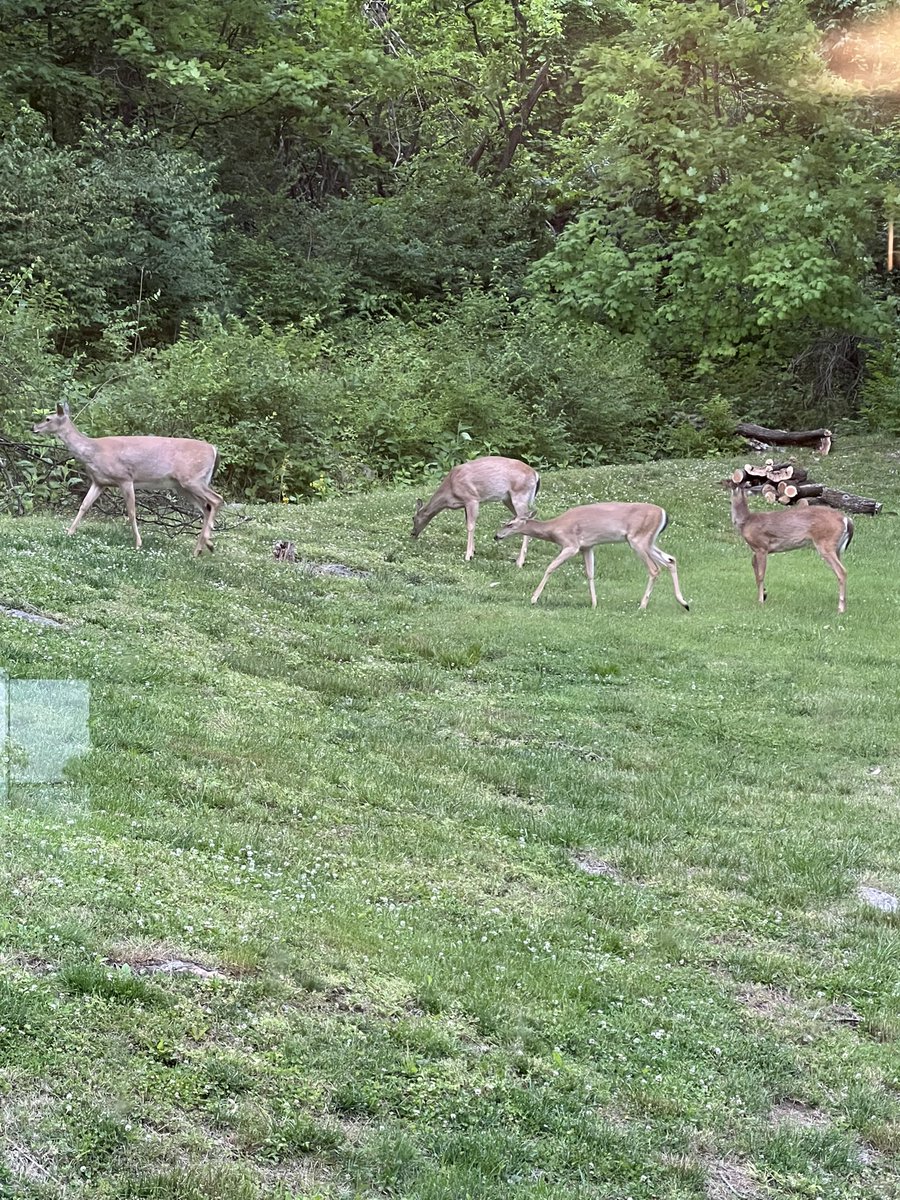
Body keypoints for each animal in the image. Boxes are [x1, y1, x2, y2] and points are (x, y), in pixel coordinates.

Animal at [32, 403, 223, 556]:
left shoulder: (125, 478)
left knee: (216, 499)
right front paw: (69, 532)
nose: (33, 428)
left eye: (48, 418)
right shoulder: (99, 482)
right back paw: (200, 549)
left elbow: (131, 512)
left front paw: (138, 543)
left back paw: (207, 542)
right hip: (182, 486)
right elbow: (84, 506)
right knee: (206, 507)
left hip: (192, 479)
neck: (93, 452)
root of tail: (214, 449)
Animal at [411, 456, 540, 565]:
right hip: (508, 499)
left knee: (525, 519)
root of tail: (536, 474)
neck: (450, 491)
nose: (412, 533)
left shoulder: (472, 499)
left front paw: (468, 555)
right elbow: (468, 524)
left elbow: (471, 526)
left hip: (520, 495)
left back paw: (520, 562)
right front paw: (473, 551)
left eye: (413, 518)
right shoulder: (465, 504)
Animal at [494, 502, 690, 610]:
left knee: (655, 569)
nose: (496, 536)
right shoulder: (587, 546)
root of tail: (664, 513)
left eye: (510, 524)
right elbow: (590, 574)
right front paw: (594, 604)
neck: (553, 529)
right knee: (671, 559)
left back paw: (642, 605)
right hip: (647, 541)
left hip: (638, 539)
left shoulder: (571, 545)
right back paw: (684, 603)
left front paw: (534, 598)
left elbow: (550, 567)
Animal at [729, 482, 853, 613]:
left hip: (825, 543)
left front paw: (761, 601)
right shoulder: (756, 550)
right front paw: (764, 594)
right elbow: (756, 572)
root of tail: (847, 519)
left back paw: (840, 609)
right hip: (837, 548)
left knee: (842, 571)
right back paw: (844, 606)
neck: (746, 522)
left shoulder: (761, 546)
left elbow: (761, 575)